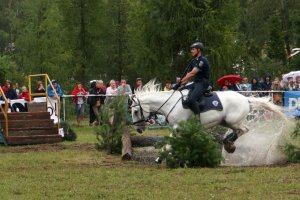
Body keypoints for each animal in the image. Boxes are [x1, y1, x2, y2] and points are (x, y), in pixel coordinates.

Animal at [130, 80, 284, 152]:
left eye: (136, 111)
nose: (138, 129)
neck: (170, 103)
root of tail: (245, 99)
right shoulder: (180, 129)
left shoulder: (177, 127)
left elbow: (169, 144)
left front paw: (161, 157)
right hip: (226, 122)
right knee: (239, 131)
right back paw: (228, 142)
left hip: (232, 120)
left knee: (244, 130)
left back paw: (229, 143)